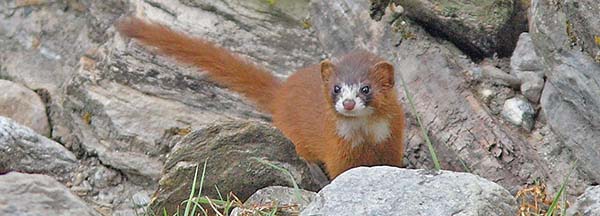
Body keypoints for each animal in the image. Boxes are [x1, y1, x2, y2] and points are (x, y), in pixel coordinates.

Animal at [116, 17, 408, 179]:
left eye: (366, 88)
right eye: (336, 88)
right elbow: (340, 172)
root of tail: (282, 92)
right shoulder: (337, 150)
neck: (365, 137)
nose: (347, 103)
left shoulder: (392, 145)